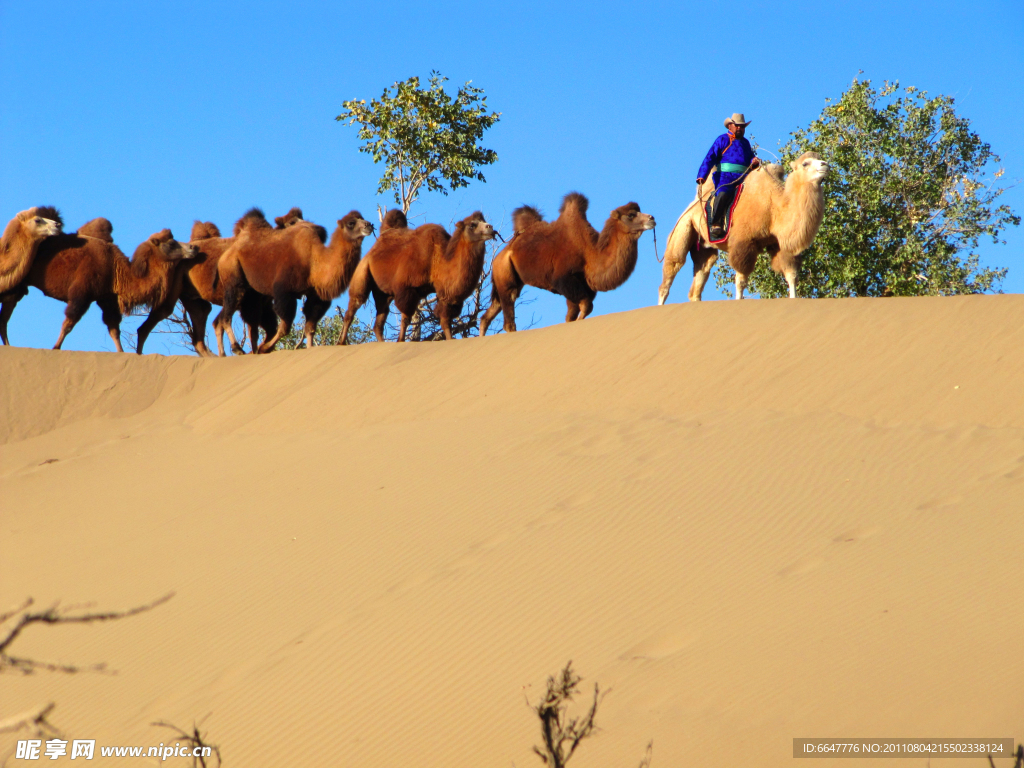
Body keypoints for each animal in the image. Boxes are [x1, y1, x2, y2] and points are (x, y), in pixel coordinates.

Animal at [0, 221, 195, 354]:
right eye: (172, 243)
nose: (193, 247)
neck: (117, 269)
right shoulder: (82, 293)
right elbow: (69, 322)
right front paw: (55, 348)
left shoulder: (106, 297)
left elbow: (114, 328)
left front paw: (122, 353)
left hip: (17, 287)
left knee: (6, 314)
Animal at [218, 210, 374, 354]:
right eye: (351, 223)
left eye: (362, 217)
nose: (369, 225)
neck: (314, 262)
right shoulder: (285, 292)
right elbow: (285, 328)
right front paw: (265, 348)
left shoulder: (315, 296)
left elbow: (310, 328)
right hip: (232, 274)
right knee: (227, 315)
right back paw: (237, 348)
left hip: (253, 293)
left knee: (251, 321)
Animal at [342, 210, 497, 342]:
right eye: (472, 225)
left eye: (483, 221)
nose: (490, 227)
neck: (437, 260)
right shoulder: (406, 288)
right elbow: (406, 318)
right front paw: (401, 341)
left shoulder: (446, 295)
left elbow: (445, 319)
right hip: (363, 271)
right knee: (353, 306)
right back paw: (341, 342)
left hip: (383, 292)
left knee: (379, 321)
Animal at [481, 192, 655, 333]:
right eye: (631, 215)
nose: (652, 218)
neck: (590, 253)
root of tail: (500, 255)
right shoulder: (564, 280)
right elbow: (586, 306)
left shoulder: (582, 288)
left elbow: (572, 316)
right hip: (504, 271)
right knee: (508, 314)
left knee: (488, 315)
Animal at [655, 151, 831, 303]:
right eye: (805, 163)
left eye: (819, 158)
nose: (825, 164)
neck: (774, 208)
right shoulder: (744, 242)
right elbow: (740, 281)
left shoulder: (778, 244)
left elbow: (791, 275)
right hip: (682, 230)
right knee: (671, 271)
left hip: (703, 247)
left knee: (699, 279)